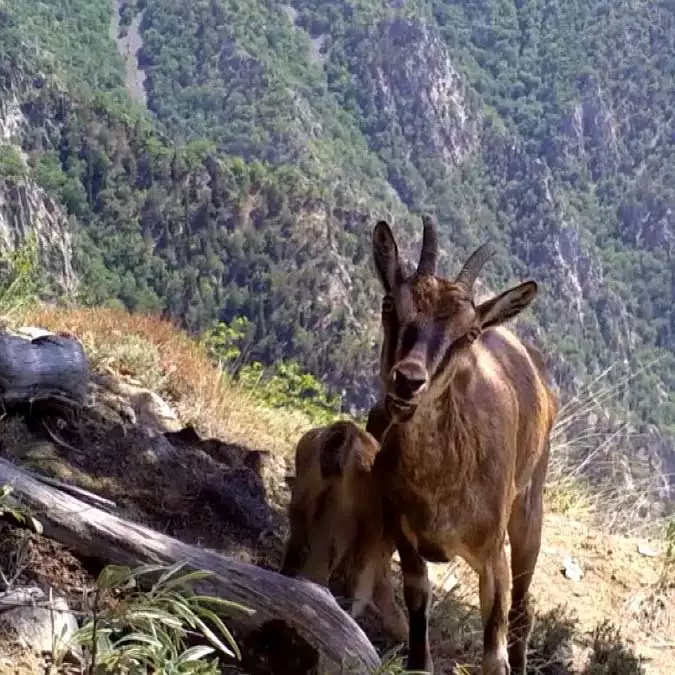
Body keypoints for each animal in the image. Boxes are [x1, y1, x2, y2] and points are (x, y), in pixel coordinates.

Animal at [370, 217, 560, 675]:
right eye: (390, 304)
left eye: (469, 332)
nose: (408, 380)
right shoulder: (405, 535)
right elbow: (418, 610)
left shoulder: (493, 558)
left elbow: (494, 653)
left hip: (529, 512)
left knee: (523, 613)